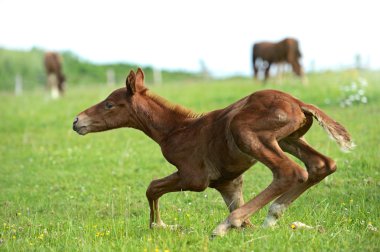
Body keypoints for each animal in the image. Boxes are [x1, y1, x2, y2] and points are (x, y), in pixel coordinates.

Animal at [73, 67, 354, 236]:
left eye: (109, 104)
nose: (77, 121)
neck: (176, 130)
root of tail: (299, 103)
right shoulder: (227, 182)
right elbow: (239, 210)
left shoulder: (194, 177)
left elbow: (152, 187)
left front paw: (160, 225)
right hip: (289, 139)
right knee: (322, 164)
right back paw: (271, 216)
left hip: (247, 134)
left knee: (290, 171)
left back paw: (226, 225)